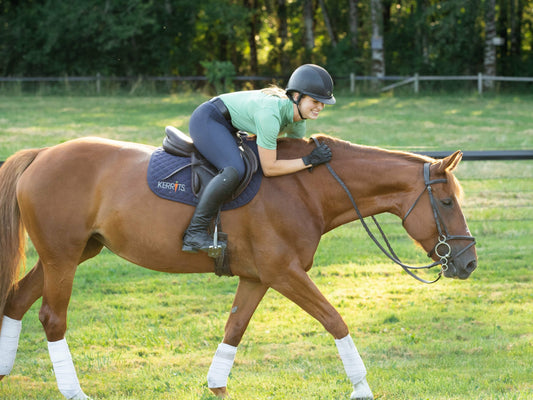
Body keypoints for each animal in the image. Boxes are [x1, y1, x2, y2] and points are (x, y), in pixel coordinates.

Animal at [0, 136, 474, 398]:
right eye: (447, 202)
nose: (468, 262)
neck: (305, 187)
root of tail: (42, 154)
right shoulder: (285, 273)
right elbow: (335, 321)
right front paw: (362, 389)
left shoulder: (257, 277)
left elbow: (234, 328)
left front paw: (216, 385)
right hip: (63, 257)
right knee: (52, 317)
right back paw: (74, 391)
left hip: (75, 253)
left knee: (17, 300)